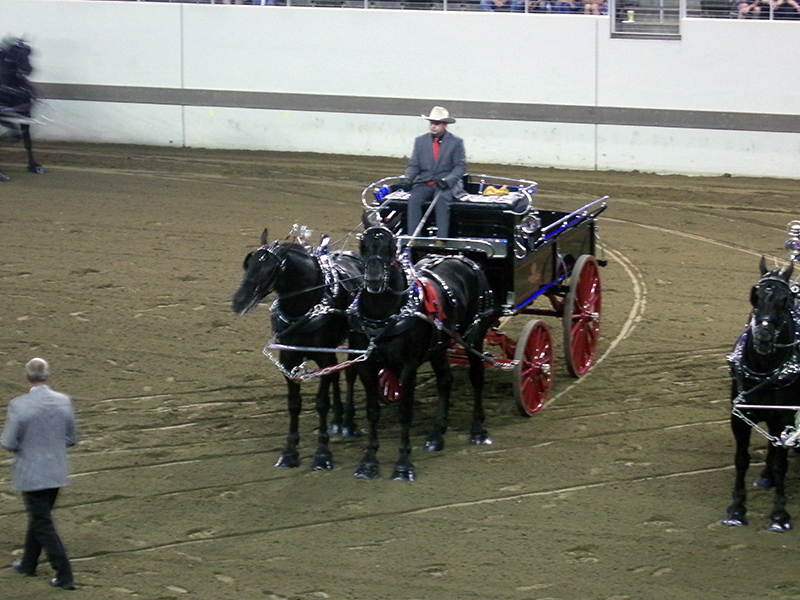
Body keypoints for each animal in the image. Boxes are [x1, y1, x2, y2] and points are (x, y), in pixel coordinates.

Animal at [0, 37, 43, 182]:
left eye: (29, 51)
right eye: (14, 52)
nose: (27, 69)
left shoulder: (26, 114)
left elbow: (26, 140)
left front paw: (34, 166)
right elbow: (15, 134)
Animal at [233, 229, 364, 468]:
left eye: (271, 269)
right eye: (249, 264)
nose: (238, 301)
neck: (306, 307)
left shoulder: (323, 357)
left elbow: (322, 402)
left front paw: (322, 454)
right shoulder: (288, 357)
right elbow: (294, 403)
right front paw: (289, 452)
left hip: (356, 338)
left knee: (350, 372)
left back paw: (348, 423)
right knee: (336, 375)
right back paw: (337, 419)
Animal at [352, 226, 500, 482]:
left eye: (391, 248)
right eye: (363, 246)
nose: (374, 279)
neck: (385, 316)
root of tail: (463, 259)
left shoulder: (408, 367)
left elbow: (404, 412)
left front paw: (403, 465)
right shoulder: (367, 366)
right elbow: (373, 412)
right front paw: (368, 463)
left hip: (474, 337)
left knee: (477, 378)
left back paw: (478, 431)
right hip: (439, 346)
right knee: (445, 380)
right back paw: (436, 435)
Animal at [724, 260, 800, 532]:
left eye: (785, 300)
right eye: (754, 296)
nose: (763, 337)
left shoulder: (784, 417)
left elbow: (781, 463)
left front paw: (779, 516)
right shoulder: (739, 418)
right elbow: (741, 459)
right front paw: (736, 510)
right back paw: (766, 476)